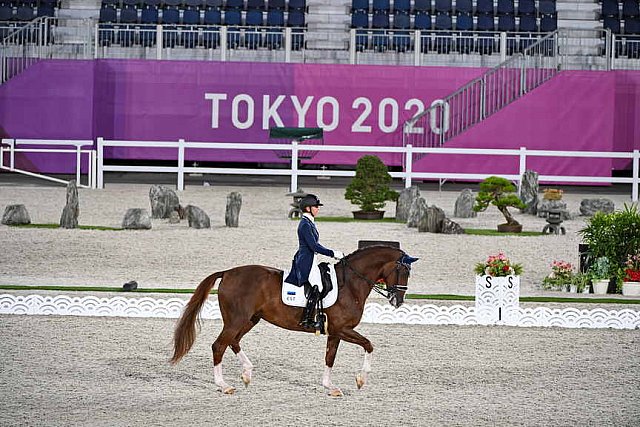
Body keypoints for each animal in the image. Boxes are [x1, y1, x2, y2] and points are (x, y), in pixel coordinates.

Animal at [171, 246, 420, 400]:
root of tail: (228, 273)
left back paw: (247, 374)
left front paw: (331, 388)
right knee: (219, 346)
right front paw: (360, 379)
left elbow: (330, 358)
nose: (398, 301)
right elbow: (369, 345)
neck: (350, 284)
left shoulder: (335, 332)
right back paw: (224, 386)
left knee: (233, 342)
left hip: (250, 319)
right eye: (403, 270)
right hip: (237, 320)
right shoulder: (342, 329)